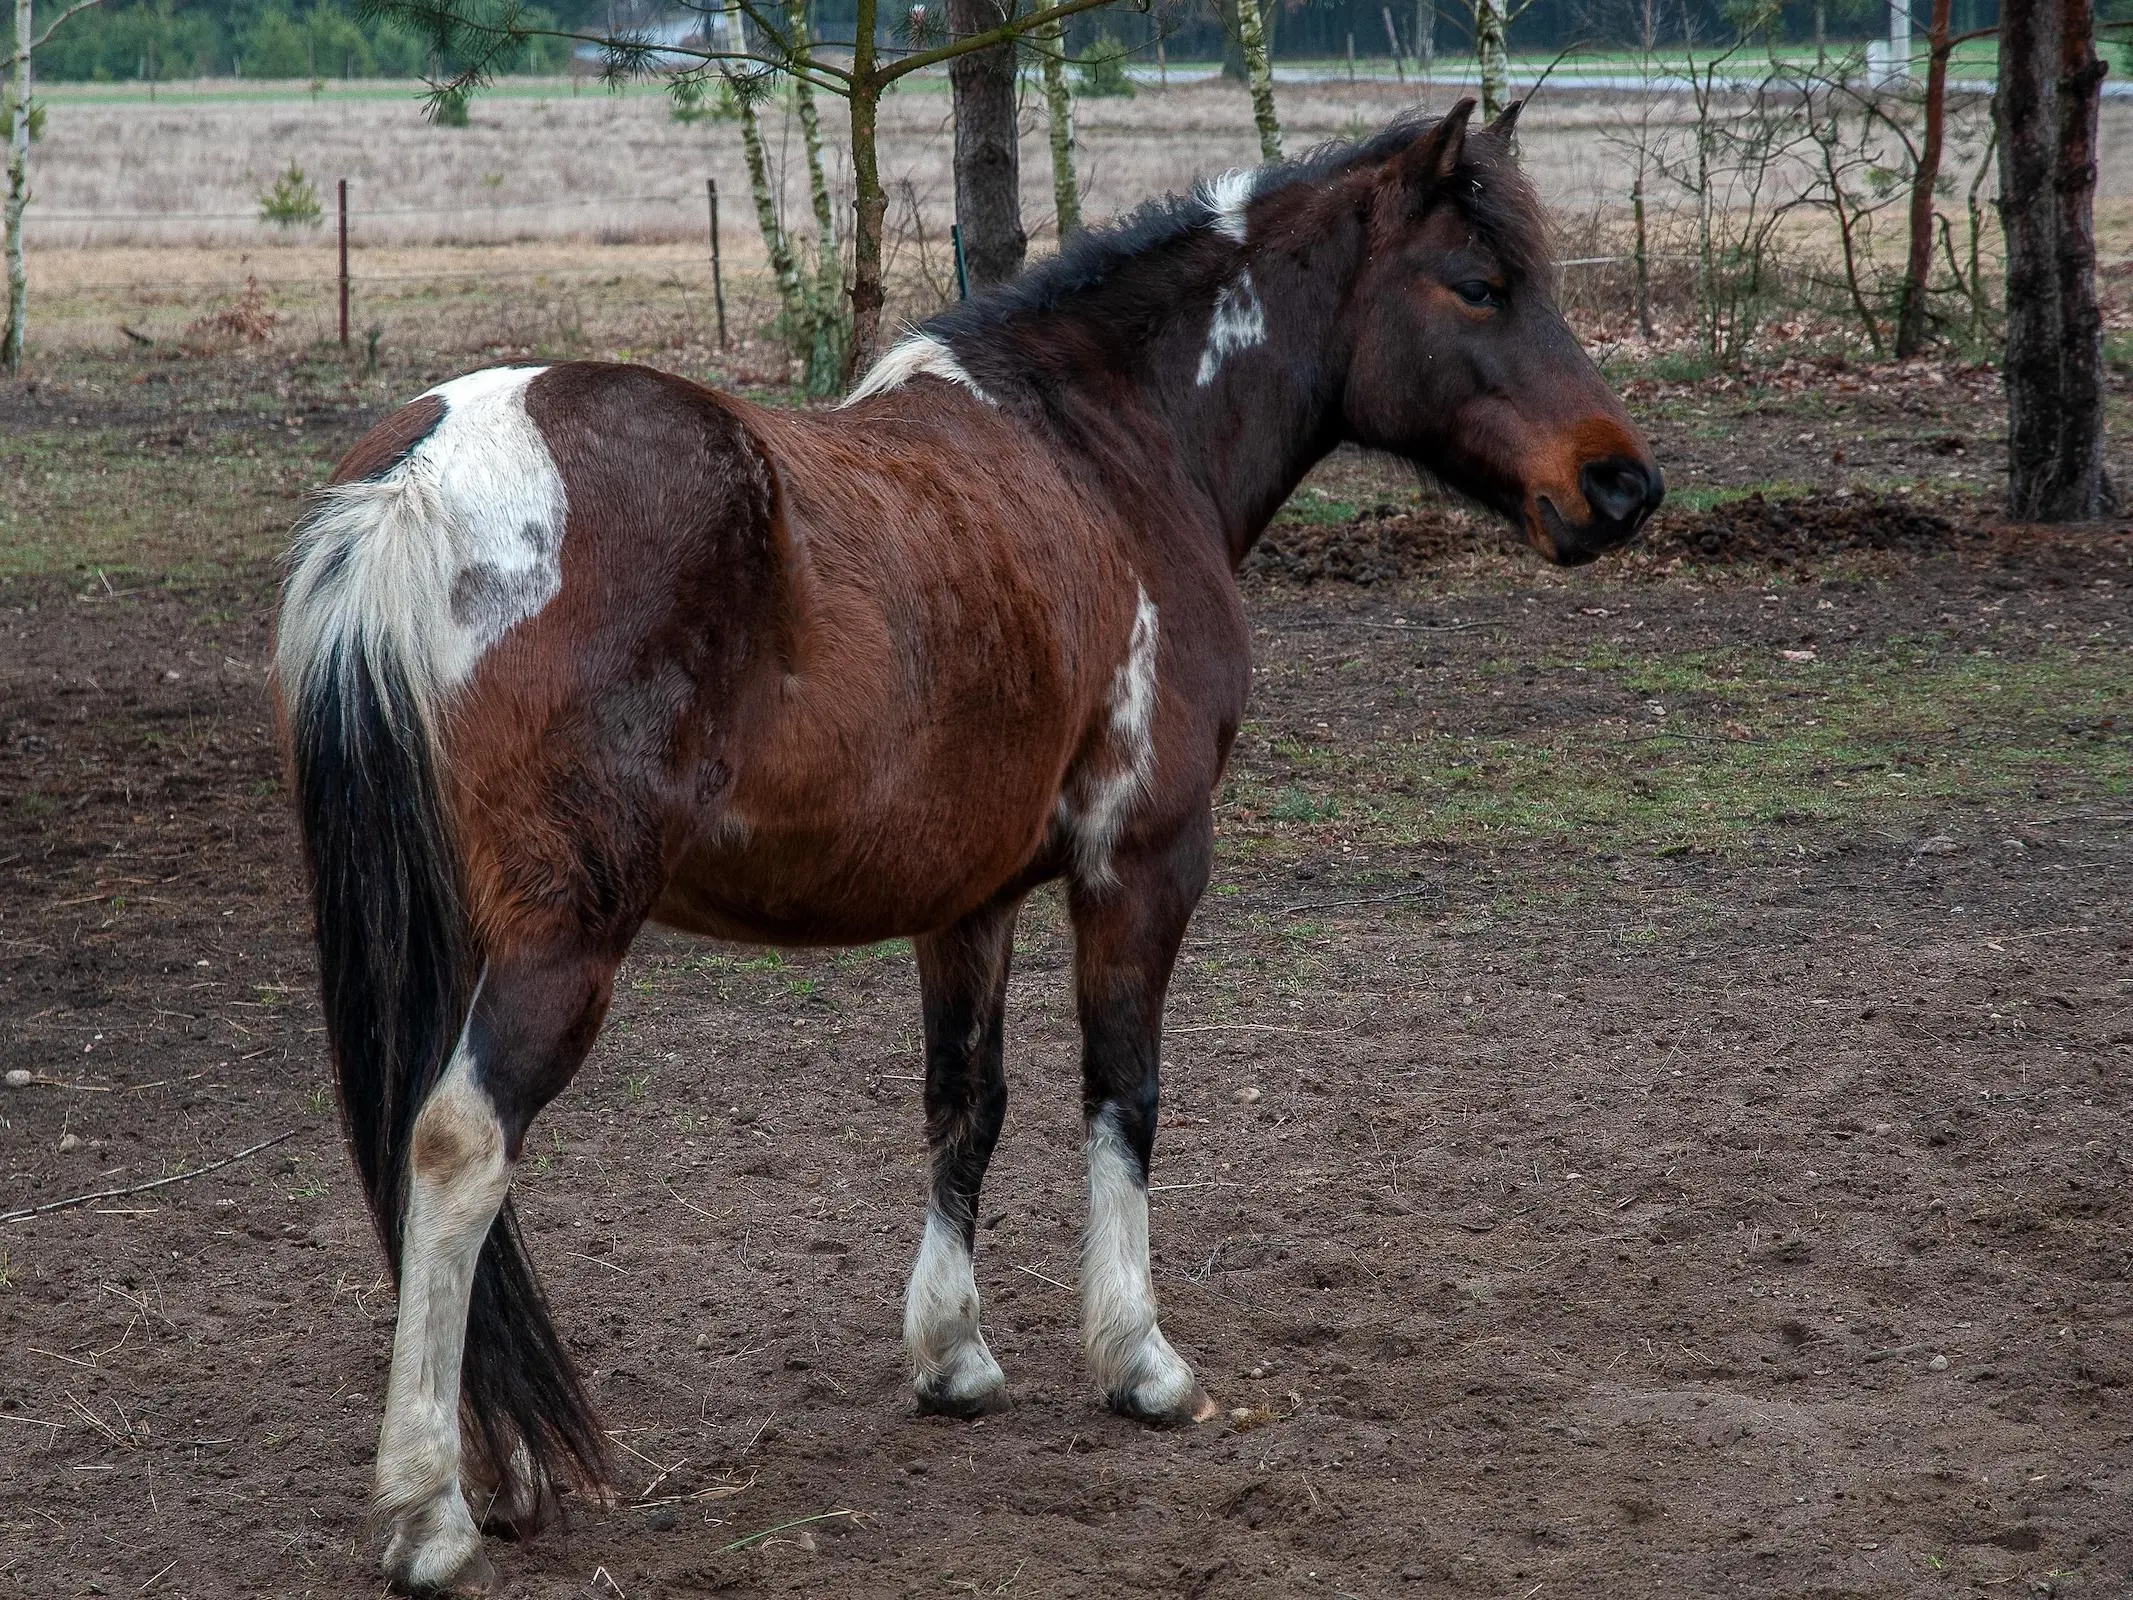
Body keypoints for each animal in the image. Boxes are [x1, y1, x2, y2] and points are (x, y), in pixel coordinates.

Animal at [270, 97, 1663, 1595]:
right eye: (1479, 283)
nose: (1621, 485)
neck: (1107, 454)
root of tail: (425, 476)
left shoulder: (970, 898)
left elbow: (964, 1103)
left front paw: (954, 1356)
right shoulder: (1142, 867)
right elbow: (1122, 1093)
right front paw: (1141, 1363)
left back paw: (507, 1465)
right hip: (561, 942)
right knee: (459, 1148)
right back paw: (430, 1508)